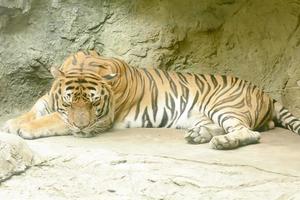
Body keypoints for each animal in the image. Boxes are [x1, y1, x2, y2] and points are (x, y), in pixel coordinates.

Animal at [2, 50, 300, 149]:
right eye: (69, 101)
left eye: (94, 104)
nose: (82, 128)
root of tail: (264, 92)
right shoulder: (50, 99)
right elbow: (37, 109)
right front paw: (13, 122)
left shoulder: (101, 120)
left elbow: (51, 120)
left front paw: (24, 129)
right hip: (203, 115)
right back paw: (199, 136)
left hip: (225, 106)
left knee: (249, 132)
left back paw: (222, 143)